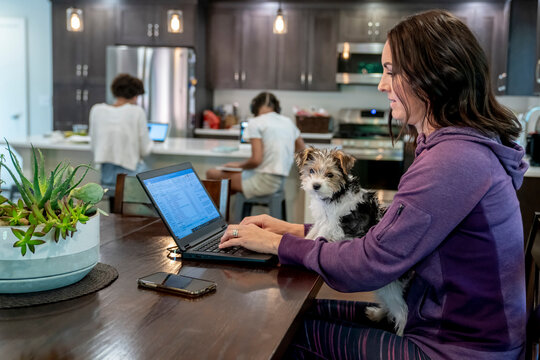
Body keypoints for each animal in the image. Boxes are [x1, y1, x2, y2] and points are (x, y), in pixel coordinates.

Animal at [296, 147, 410, 338]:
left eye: (330, 175)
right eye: (311, 170)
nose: (316, 186)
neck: (336, 193)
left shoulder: (332, 226)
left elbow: (319, 236)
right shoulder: (322, 221)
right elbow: (312, 233)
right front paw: (304, 240)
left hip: (390, 287)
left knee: (402, 311)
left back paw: (400, 333)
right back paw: (377, 313)